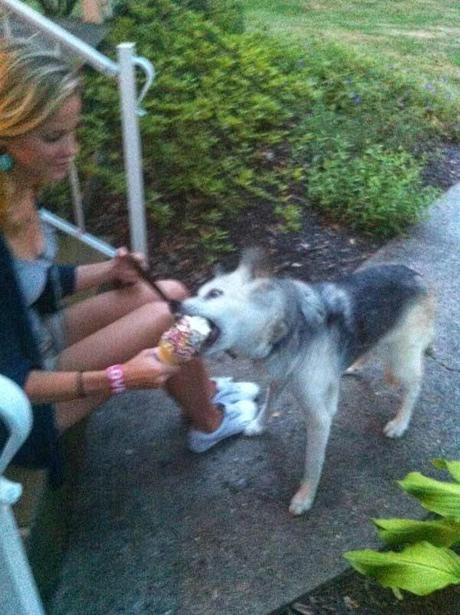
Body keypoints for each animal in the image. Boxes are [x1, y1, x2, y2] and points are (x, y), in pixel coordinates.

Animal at [179, 249, 434, 516]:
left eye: (215, 294)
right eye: (200, 291)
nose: (174, 305)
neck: (282, 326)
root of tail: (417, 275)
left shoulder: (318, 416)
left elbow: (313, 463)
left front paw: (305, 497)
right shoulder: (280, 377)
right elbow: (269, 404)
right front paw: (259, 425)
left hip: (401, 359)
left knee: (414, 386)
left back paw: (400, 422)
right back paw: (354, 365)